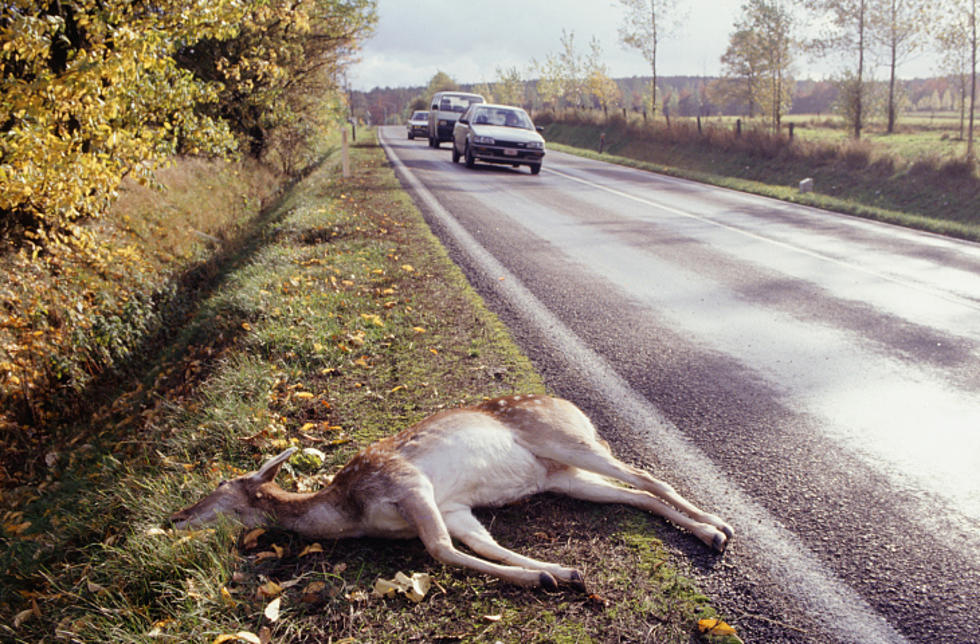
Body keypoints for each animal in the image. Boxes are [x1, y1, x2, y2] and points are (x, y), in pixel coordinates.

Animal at [170, 392, 736, 588]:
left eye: (216, 485)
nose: (175, 517)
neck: (351, 513)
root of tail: (576, 409)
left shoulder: (407, 482)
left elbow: (441, 550)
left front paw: (542, 579)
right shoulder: (454, 505)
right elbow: (483, 543)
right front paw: (561, 573)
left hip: (565, 438)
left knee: (646, 475)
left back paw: (721, 526)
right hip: (561, 476)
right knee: (635, 493)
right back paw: (710, 535)